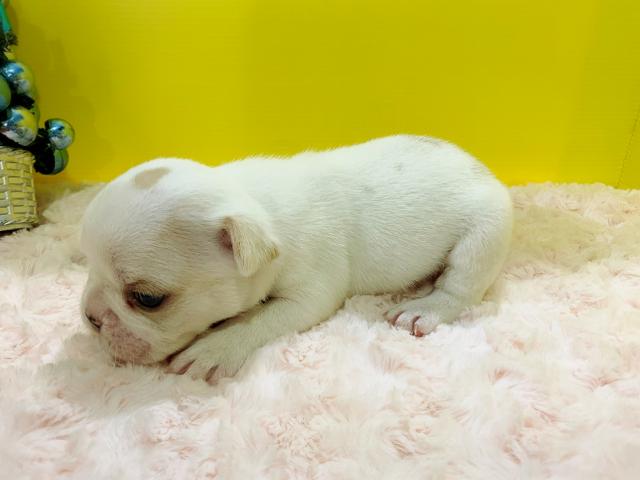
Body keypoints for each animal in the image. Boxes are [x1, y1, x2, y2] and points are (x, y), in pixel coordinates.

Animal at [80, 135, 513, 382]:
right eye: (88, 268)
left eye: (147, 299)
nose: (90, 317)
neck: (253, 201)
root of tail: (483, 170)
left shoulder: (310, 293)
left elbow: (259, 319)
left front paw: (214, 349)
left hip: (486, 231)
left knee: (461, 285)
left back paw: (426, 308)